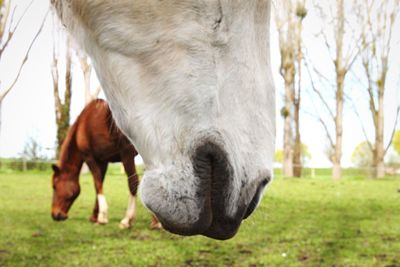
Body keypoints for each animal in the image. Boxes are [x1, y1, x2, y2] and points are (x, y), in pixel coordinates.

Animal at [50, 99, 160, 229]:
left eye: (54, 186)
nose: (55, 214)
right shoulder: (103, 162)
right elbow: (99, 183)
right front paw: (94, 215)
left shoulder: (90, 158)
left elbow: (97, 184)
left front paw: (102, 216)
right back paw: (156, 221)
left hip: (127, 154)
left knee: (133, 183)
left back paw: (127, 219)